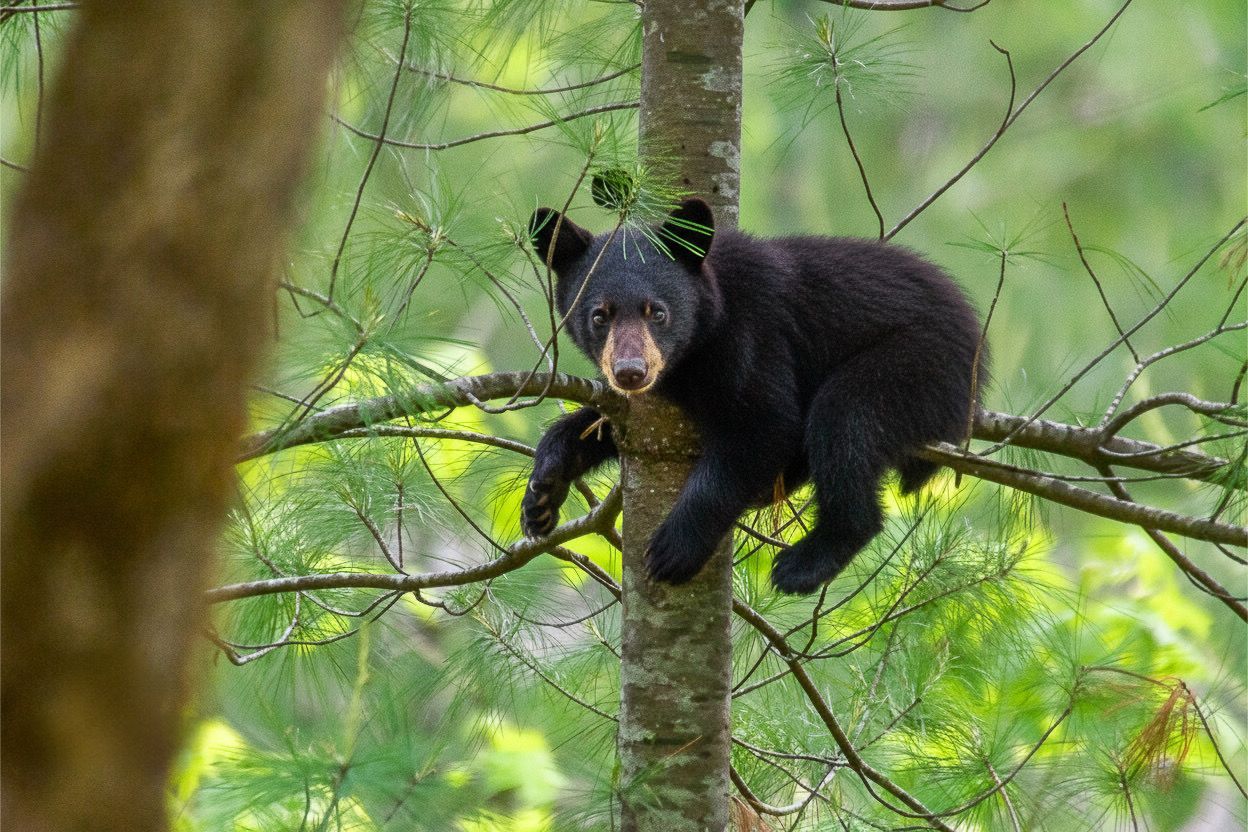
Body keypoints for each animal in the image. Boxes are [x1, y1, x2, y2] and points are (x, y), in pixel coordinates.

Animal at [521, 198, 983, 594]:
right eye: (599, 315)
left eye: (658, 311)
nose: (630, 371)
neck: (703, 336)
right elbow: (606, 423)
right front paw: (542, 491)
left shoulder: (754, 336)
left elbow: (763, 425)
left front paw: (674, 547)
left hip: (918, 363)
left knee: (843, 420)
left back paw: (805, 563)